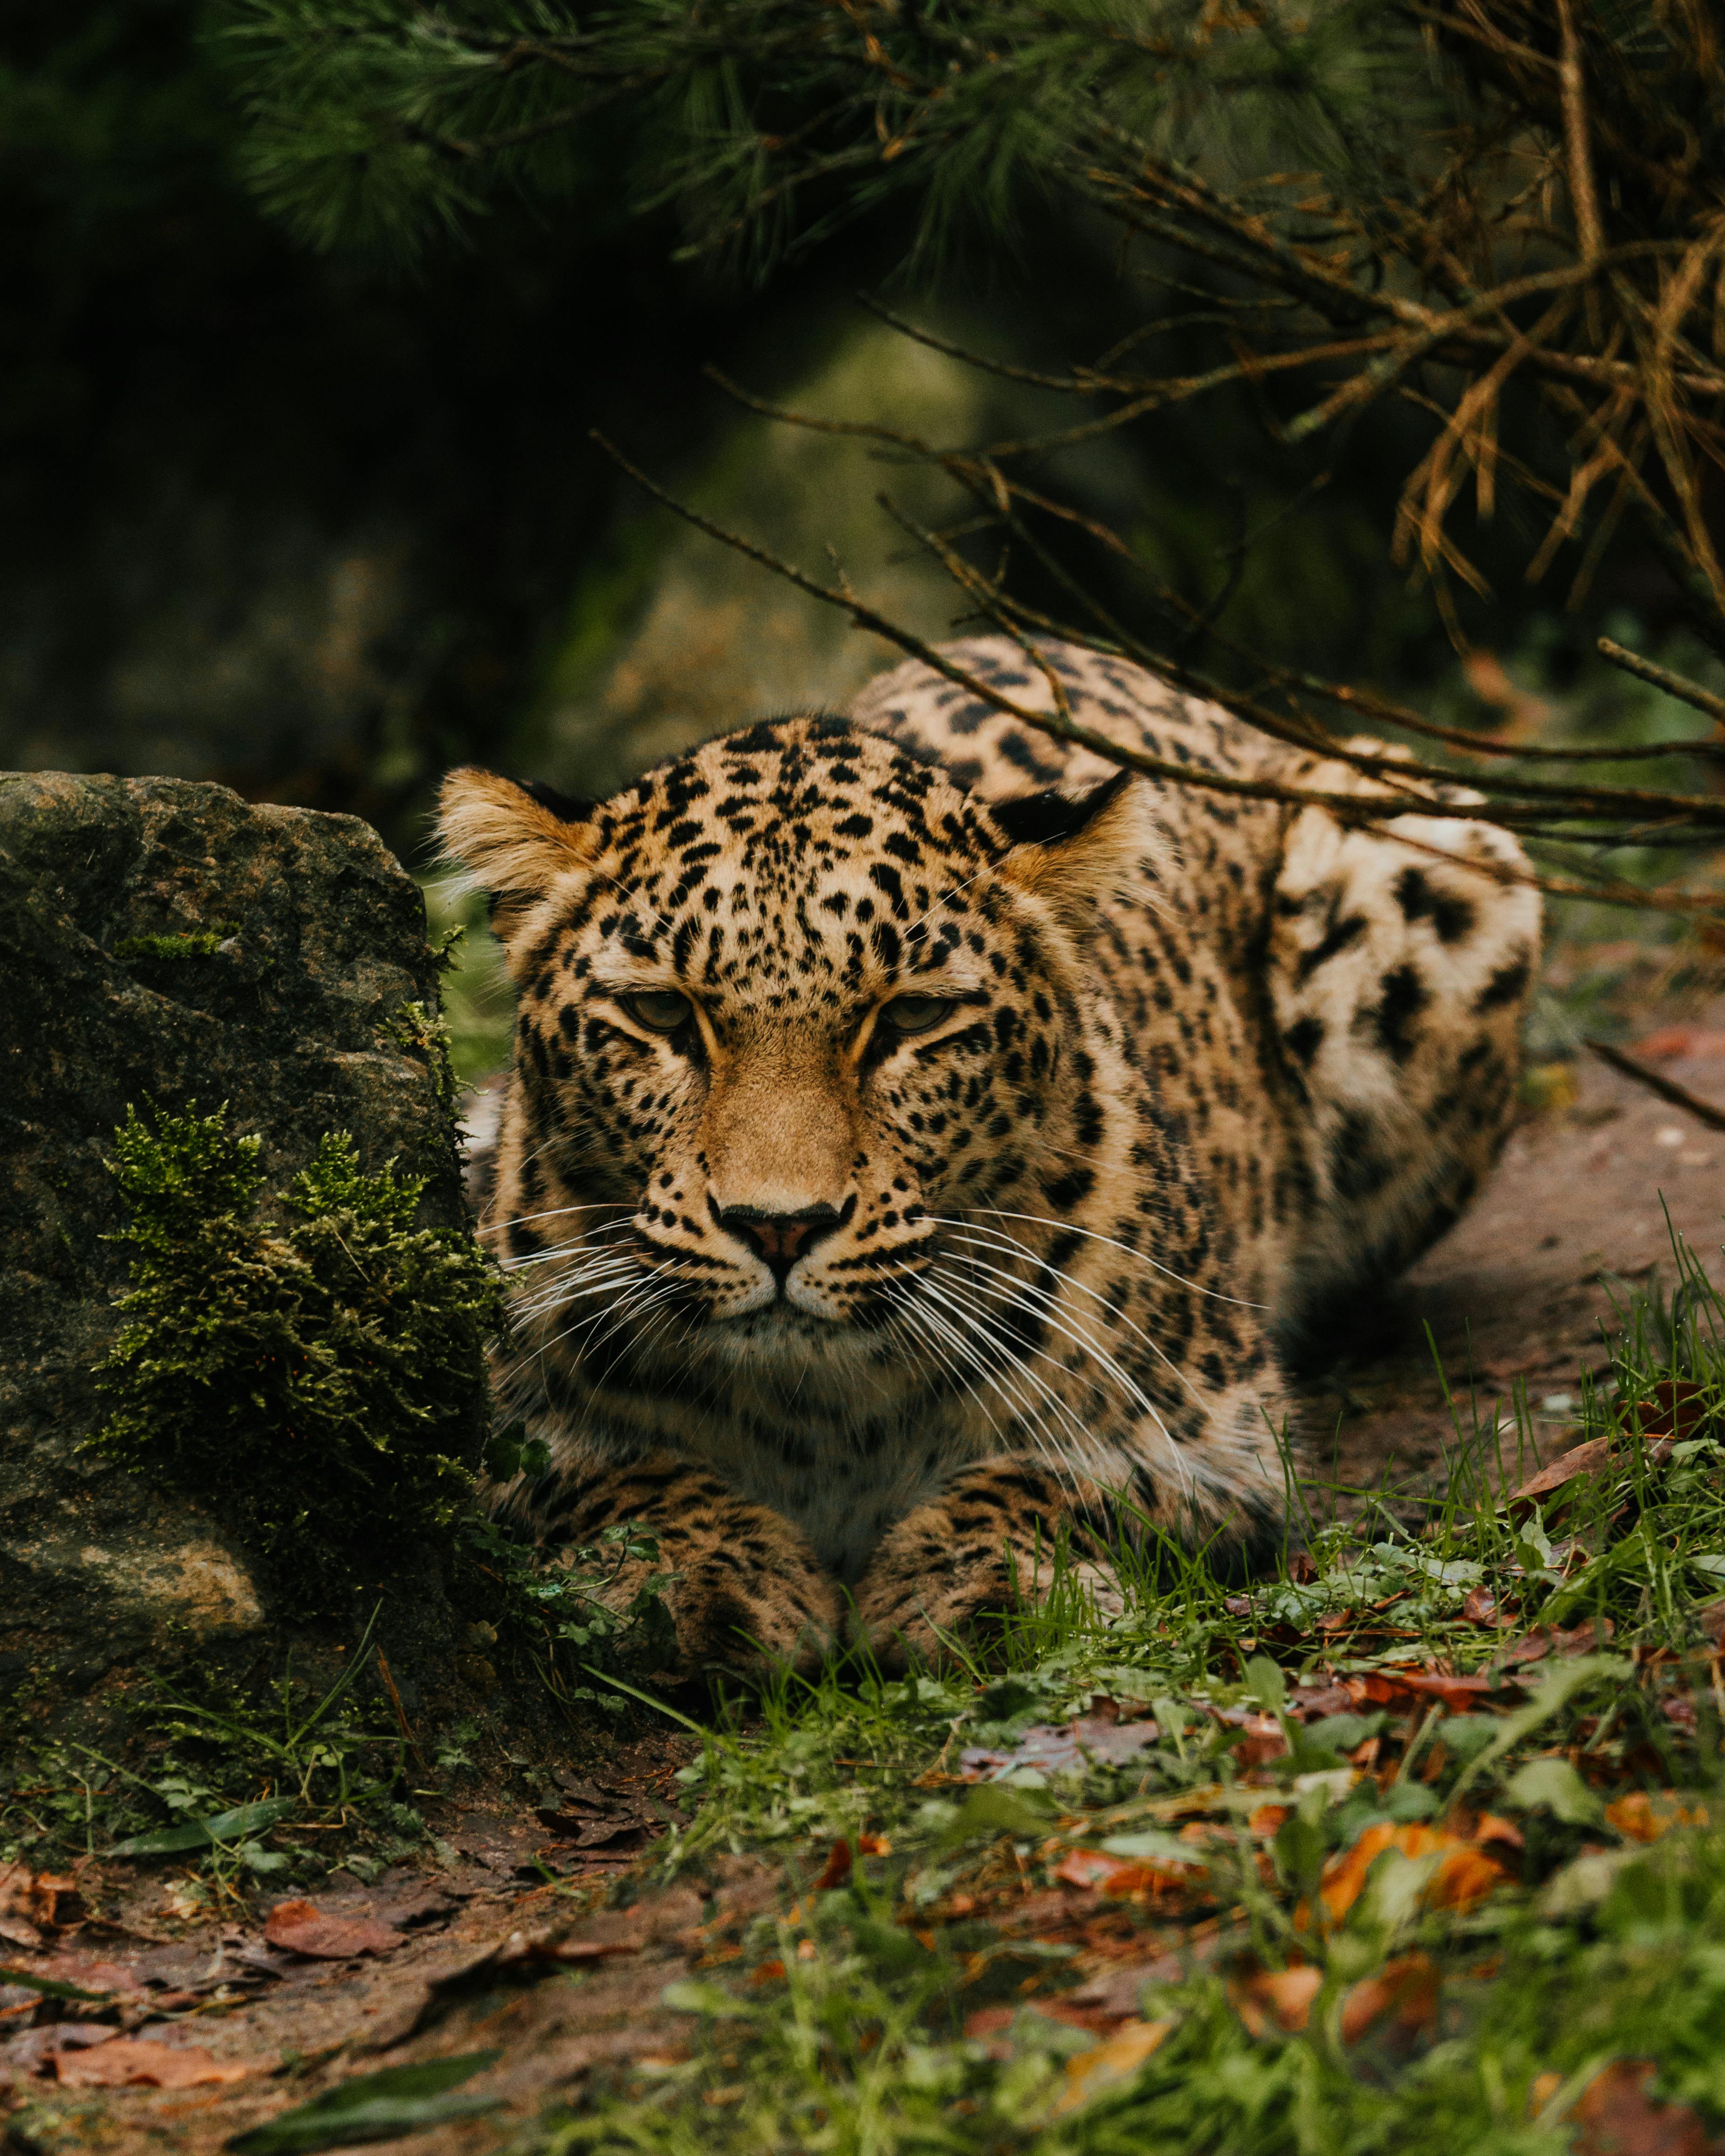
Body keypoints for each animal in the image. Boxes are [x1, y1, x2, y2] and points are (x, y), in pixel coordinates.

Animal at [442, 629, 1535, 1673]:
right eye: (662, 1013)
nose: (779, 1228)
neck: (817, 1412)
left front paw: (979, 1584)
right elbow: (609, 1480)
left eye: (912, 1018)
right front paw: (702, 1579)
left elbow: (1065, 1482)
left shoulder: (1221, 1430)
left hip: (1433, 852)